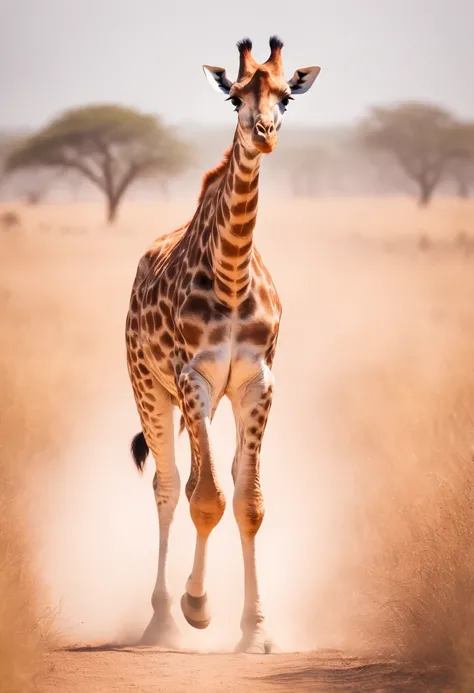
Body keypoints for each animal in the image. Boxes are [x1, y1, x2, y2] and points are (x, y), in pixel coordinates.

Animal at [124, 36, 320, 656]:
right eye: (234, 97)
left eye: (286, 96)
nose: (264, 132)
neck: (232, 275)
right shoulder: (194, 380)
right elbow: (204, 497)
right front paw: (198, 607)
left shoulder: (257, 384)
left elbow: (247, 501)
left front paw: (256, 631)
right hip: (150, 390)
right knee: (168, 488)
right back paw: (162, 620)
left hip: (218, 401)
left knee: (200, 483)